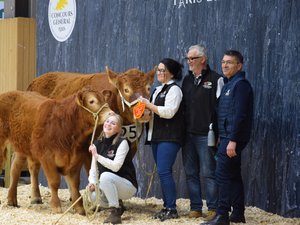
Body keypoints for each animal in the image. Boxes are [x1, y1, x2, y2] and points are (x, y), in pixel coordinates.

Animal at [0, 86, 112, 214]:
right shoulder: (47, 157)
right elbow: (54, 181)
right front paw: (56, 206)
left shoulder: (76, 158)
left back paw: (20, 199)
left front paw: (79, 207)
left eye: (104, 100)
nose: (111, 113)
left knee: (18, 168)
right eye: (92, 101)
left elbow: (74, 183)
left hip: (24, 146)